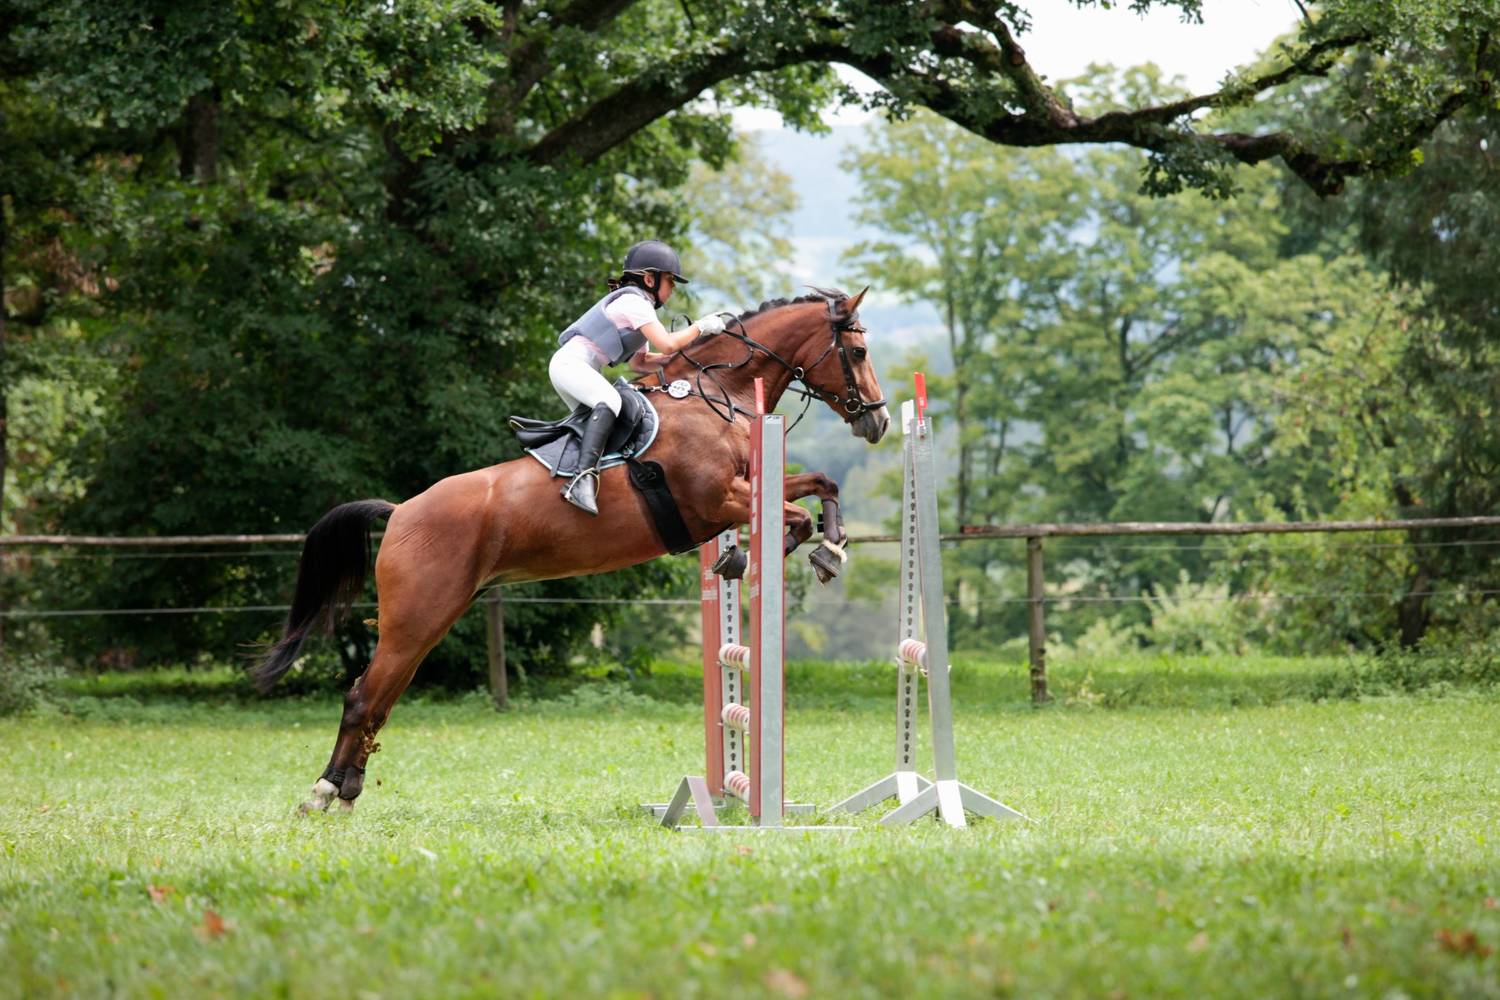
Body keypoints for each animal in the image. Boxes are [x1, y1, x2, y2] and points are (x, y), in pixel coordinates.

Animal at [253, 286, 888, 814]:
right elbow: (794, 516)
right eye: (857, 352)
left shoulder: (749, 484)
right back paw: (324, 791)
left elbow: (823, 485)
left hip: (428, 621)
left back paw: (346, 790)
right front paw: (762, 557)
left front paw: (829, 550)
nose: (878, 422)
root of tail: (401, 511)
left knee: (379, 699)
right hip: (416, 618)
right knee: (363, 697)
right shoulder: (717, 499)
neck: (718, 395)